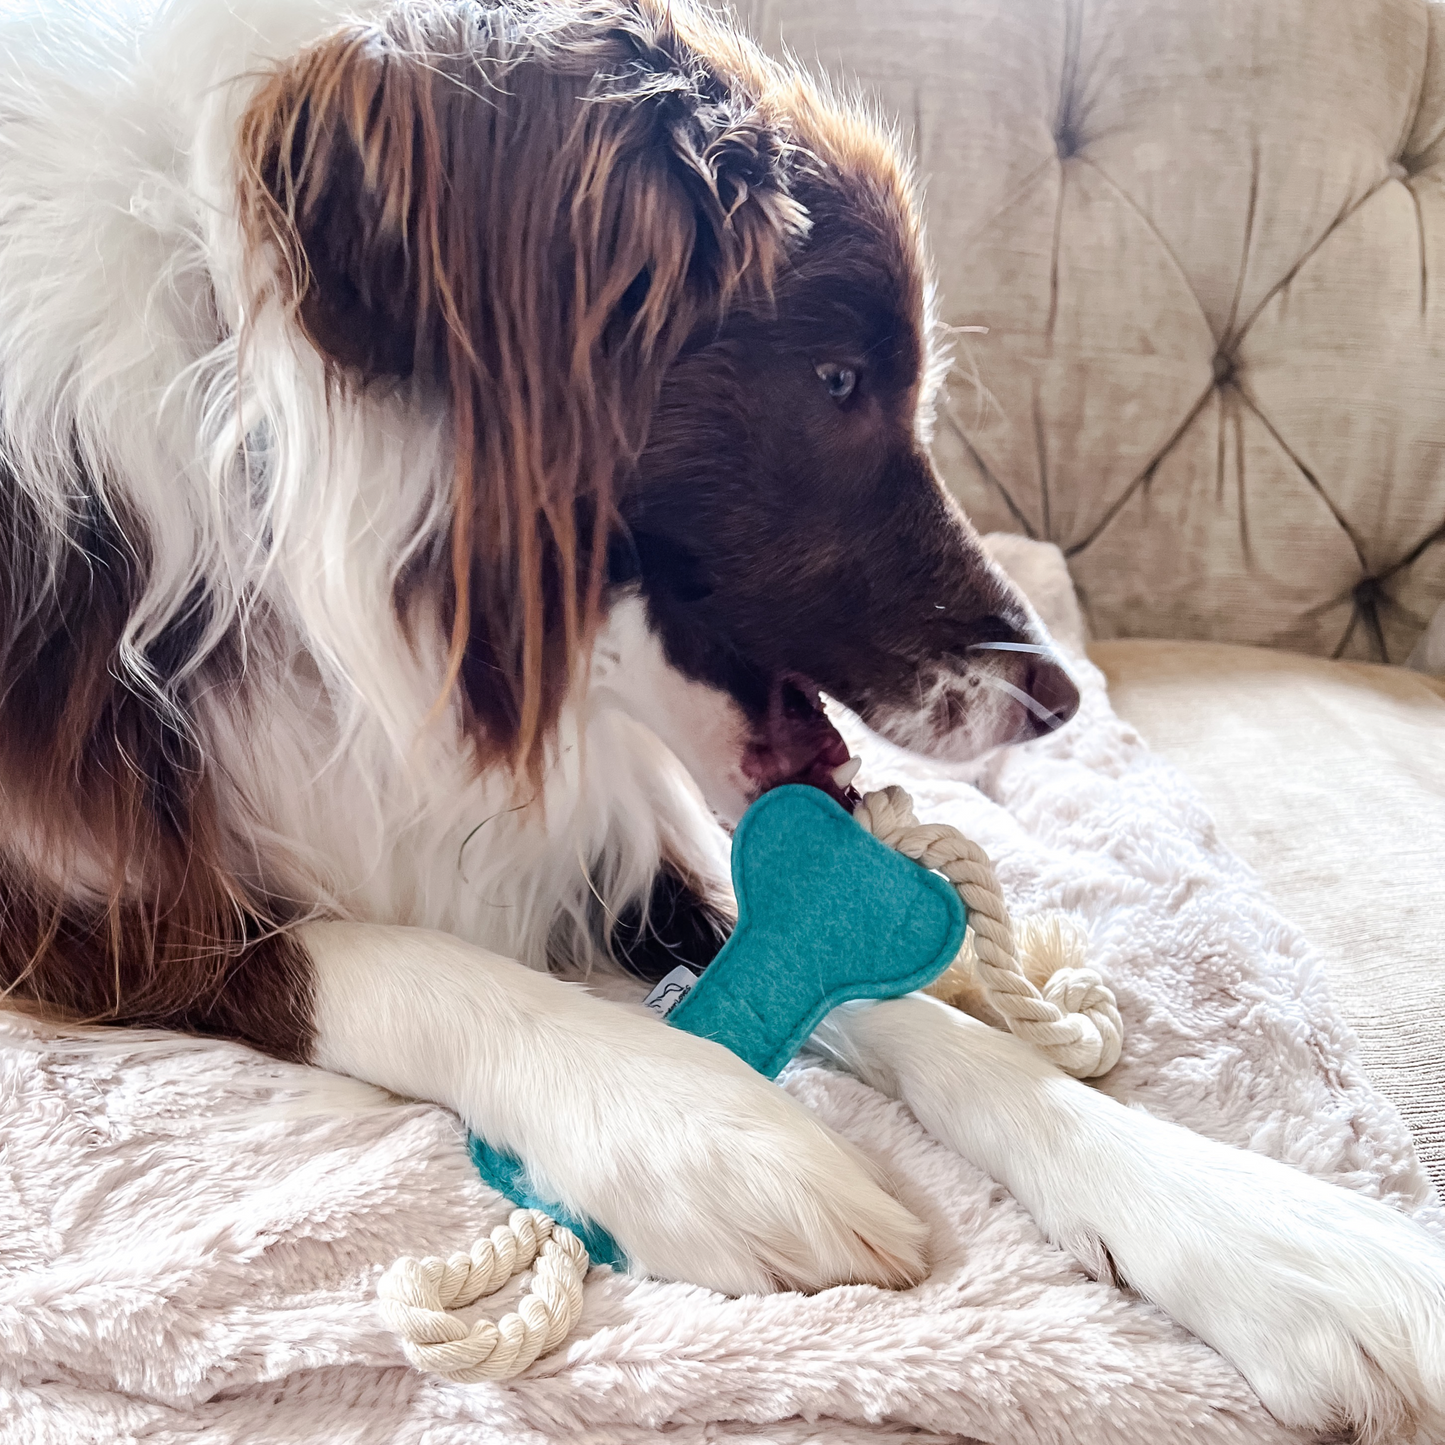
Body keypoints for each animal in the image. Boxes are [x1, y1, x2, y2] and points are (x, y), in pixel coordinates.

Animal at [0, 0, 1439, 1433]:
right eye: (838, 378)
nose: (1058, 694)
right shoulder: (76, 905)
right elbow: (376, 960)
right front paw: (699, 1130)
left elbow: (851, 973)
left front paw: (1270, 1238)